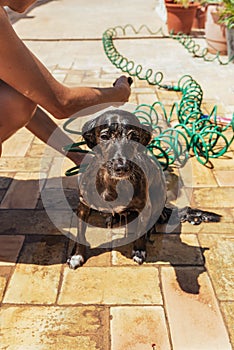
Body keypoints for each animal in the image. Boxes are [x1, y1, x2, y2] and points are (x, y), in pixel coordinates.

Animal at [66, 109, 220, 268]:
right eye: (104, 136)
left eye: (134, 137)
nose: (122, 167)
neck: (113, 184)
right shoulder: (83, 206)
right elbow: (80, 234)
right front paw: (77, 255)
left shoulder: (145, 208)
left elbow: (140, 232)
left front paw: (139, 251)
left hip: (158, 196)